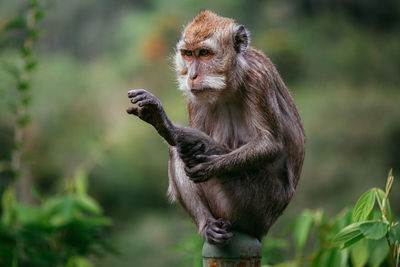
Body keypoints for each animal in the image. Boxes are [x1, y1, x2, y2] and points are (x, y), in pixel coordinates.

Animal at [126, 10, 304, 246]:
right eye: (188, 54)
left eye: (204, 53)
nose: (192, 76)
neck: (230, 84)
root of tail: (263, 229)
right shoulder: (194, 97)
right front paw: (163, 124)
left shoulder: (259, 80)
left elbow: (270, 143)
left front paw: (210, 164)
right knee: (177, 151)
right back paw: (208, 225)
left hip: (259, 203)